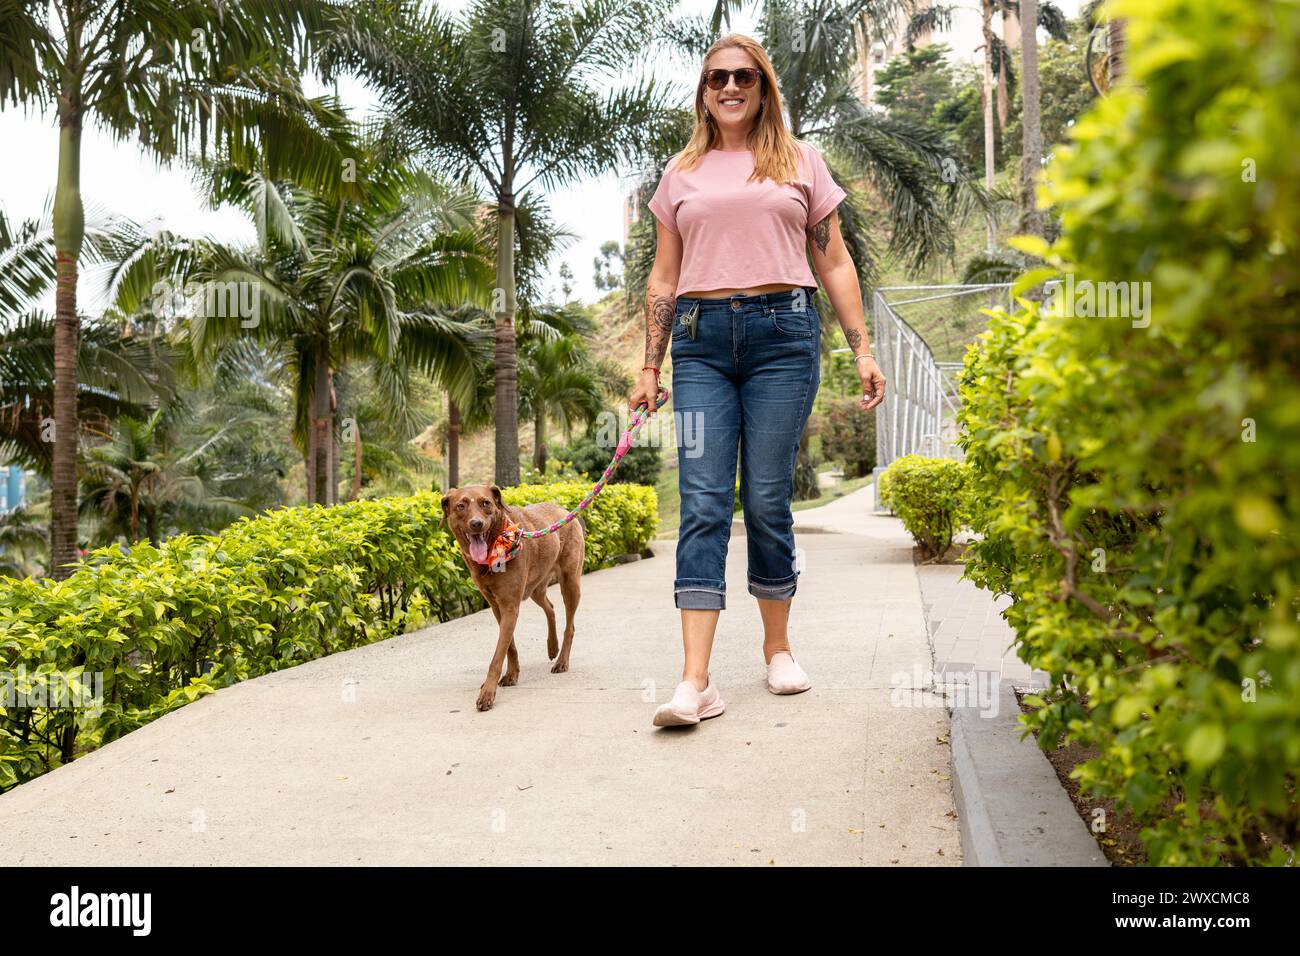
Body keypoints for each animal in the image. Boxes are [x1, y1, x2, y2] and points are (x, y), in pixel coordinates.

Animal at [441, 486, 585, 712]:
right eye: (460, 506)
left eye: (486, 503)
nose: (476, 523)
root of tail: (564, 510)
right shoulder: (496, 606)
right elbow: (509, 646)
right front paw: (511, 674)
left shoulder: (510, 606)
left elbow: (498, 655)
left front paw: (487, 693)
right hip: (535, 588)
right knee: (550, 607)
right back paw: (552, 646)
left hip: (570, 583)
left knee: (569, 626)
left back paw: (561, 661)